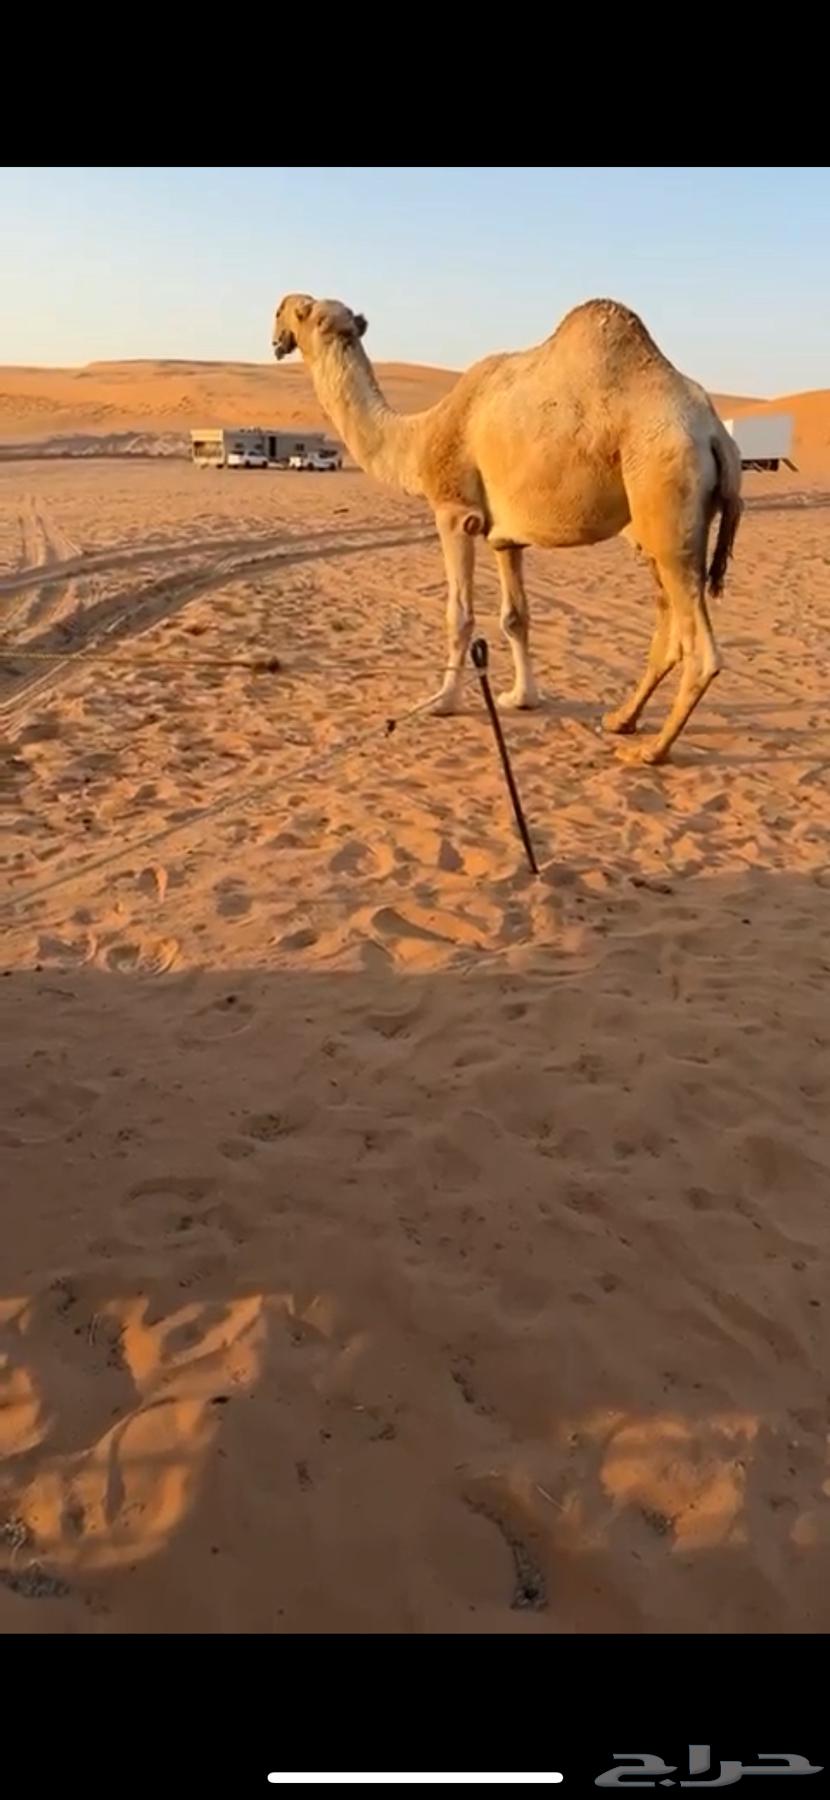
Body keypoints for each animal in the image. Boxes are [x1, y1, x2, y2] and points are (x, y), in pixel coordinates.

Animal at [272, 294, 742, 764]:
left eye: (296, 312)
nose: (276, 338)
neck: (421, 434)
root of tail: (716, 434)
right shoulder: (505, 536)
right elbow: (516, 616)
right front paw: (522, 698)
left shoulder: (455, 512)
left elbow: (459, 614)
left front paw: (442, 701)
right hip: (660, 521)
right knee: (669, 622)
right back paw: (621, 719)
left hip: (666, 493)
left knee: (699, 647)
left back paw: (653, 749)